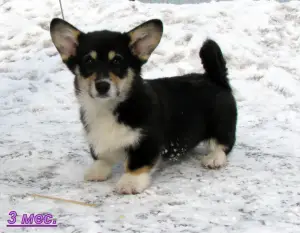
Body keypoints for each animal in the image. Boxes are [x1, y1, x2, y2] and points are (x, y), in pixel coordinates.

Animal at [49, 18, 237, 194]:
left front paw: (130, 183)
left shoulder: (148, 140)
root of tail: (215, 79)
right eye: (88, 60)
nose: (102, 86)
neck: (110, 107)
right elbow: (102, 157)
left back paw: (214, 158)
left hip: (222, 124)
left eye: (117, 60)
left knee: (224, 143)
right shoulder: (97, 138)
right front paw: (97, 171)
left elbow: (136, 163)